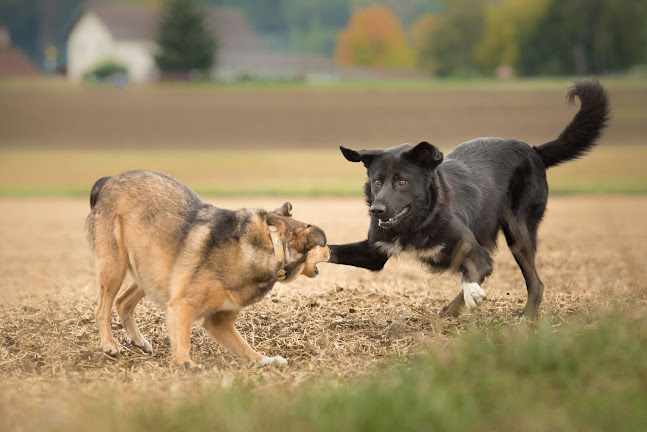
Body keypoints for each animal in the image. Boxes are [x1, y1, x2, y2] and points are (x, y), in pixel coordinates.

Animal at [85, 170, 330, 366]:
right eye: (322, 245)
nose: (330, 251)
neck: (272, 243)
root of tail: (107, 181)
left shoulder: (218, 321)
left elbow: (244, 347)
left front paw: (265, 360)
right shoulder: (182, 306)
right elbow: (183, 342)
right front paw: (186, 365)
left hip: (152, 272)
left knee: (122, 302)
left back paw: (138, 341)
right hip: (115, 267)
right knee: (102, 309)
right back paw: (109, 344)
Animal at [332, 80, 612, 318]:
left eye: (402, 182)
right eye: (377, 181)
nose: (377, 210)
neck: (417, 222)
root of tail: (533, 150)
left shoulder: (474, 249)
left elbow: (474, 271)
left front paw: (470, 293)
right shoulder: (373, 253)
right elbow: (331, 251)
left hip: (518, 231)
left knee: (536, 282)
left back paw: (524, 317)